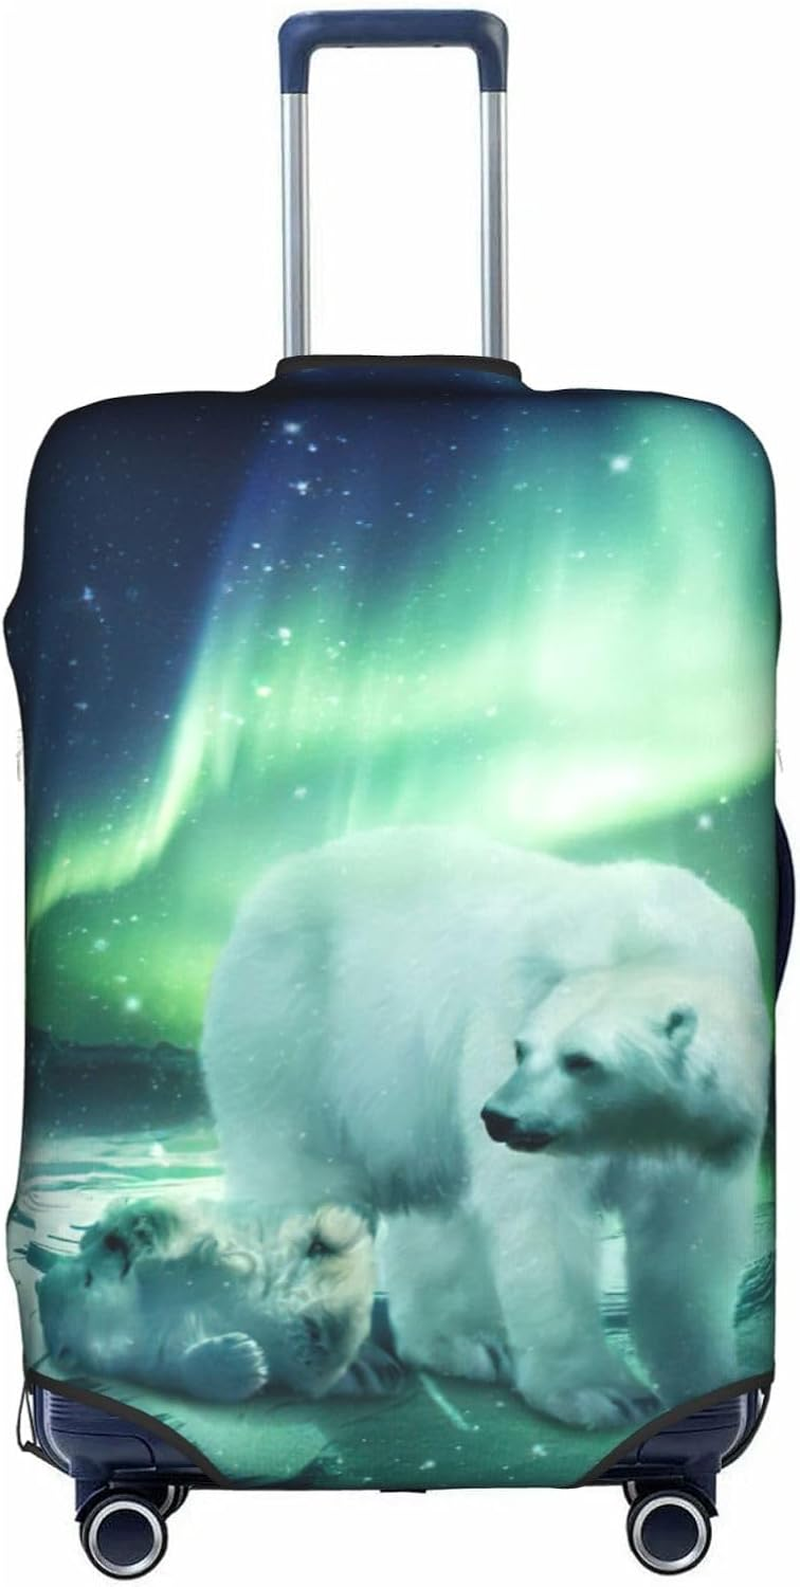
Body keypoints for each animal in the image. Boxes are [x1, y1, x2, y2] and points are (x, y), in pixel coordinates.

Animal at [37, 1195, 376, 1402]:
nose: (114, 1244)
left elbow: (191, 1246)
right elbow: (185, 1366)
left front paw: (136, 1225)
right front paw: (244, 1357)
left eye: (85, 1267)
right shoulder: (146, 1360)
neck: (139, 1312)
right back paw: (326, 1327)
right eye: (87, 1278)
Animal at [201, 825, 771, 1428]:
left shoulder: (710, 1130)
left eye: (581, 1060)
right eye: (522, 1049)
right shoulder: (508, 1012)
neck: (651, 941)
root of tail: (272, 884)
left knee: (439, 1207)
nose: (499, 1116)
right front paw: (602, 1393)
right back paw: (347, 1363)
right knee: (302, 1180)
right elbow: (539, 1217)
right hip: (293, 1028)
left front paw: (704, 1379)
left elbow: (689, 1245)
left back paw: (468, 1343)